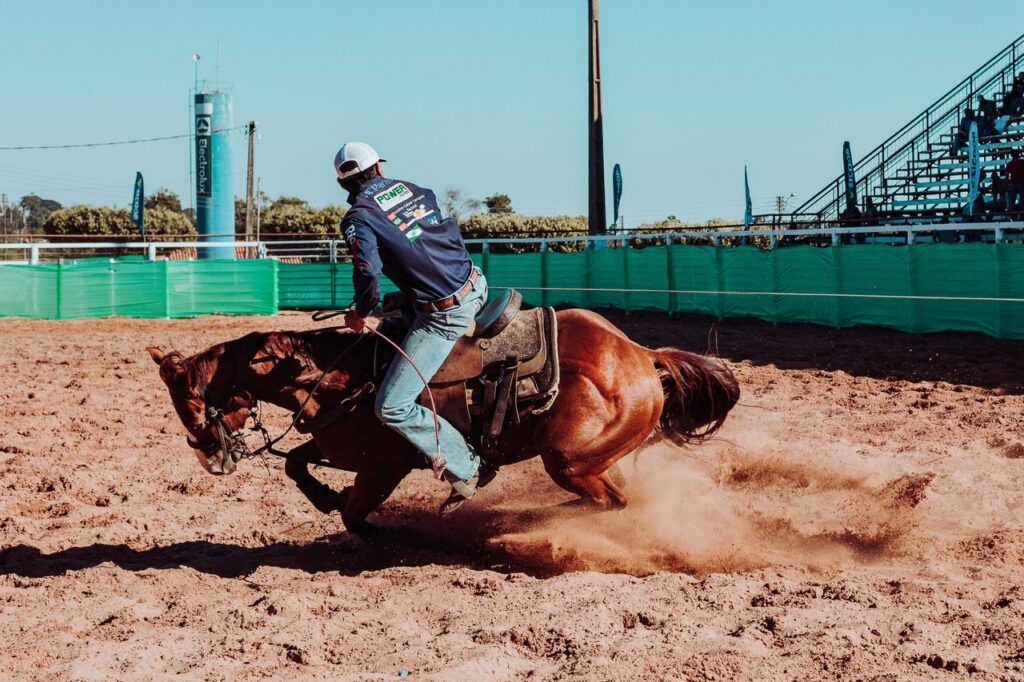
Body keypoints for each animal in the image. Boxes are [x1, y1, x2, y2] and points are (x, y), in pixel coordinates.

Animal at [147, 308, 740, 541]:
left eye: (193, 401)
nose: (211, 458)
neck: (340, 374)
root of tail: (641, 354)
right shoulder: (344, 450)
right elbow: (296, 462)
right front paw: (325, 497)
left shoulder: (383, 465)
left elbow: (355, 515)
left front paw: (376, 527)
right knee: (612, 499)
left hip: (568, 460)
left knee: (612, 501)